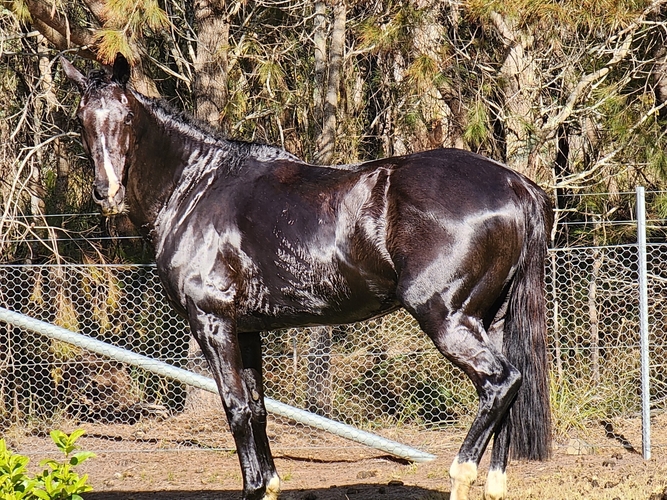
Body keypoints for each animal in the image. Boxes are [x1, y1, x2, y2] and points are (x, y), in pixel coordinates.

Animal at [62, 54, 552, 500]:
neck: (196, 188)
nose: (106, 191)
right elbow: (258, 410)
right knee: (507, 398)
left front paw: (254, 485)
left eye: (126, 117)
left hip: (448, 318)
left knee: (500, 383)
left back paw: (460, 473)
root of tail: (515, 185)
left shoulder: (213, 322)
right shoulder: (247, 330)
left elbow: (237, 409)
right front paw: (269, 484)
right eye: (81, 119)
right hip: (492, 320)